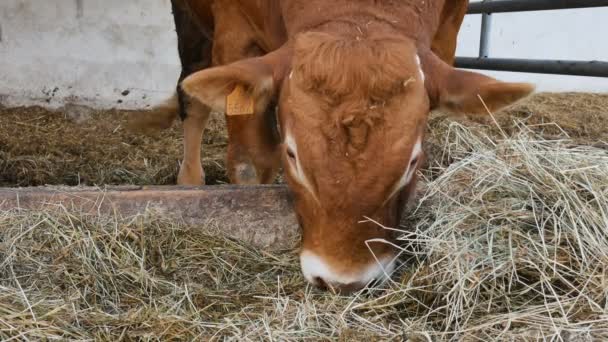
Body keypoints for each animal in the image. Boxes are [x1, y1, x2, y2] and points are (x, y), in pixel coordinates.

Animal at [134, 1, 532, 292]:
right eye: (293, 155)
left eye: (412, 161)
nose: (344, 281)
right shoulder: (235, 32)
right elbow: (251, 161)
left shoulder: (448, 29)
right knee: (192, 94)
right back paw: (189, 178)